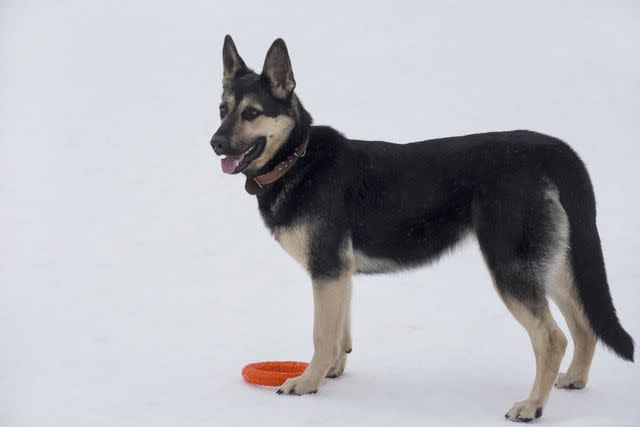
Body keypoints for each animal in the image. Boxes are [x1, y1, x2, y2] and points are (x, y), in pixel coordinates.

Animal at [211, 36, 636, 422]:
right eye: (222, 110)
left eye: (252, 113)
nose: (214, 143)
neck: (298, 159)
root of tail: (552, 150)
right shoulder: (338, 274)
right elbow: (339, 334)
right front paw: (331, 372)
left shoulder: (327, 269)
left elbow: (321, 334)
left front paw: (307, 382)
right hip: (554, 265)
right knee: (584, 327)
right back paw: (574, 380)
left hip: (512, 268)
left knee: (553, 338)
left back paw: (532, 405)